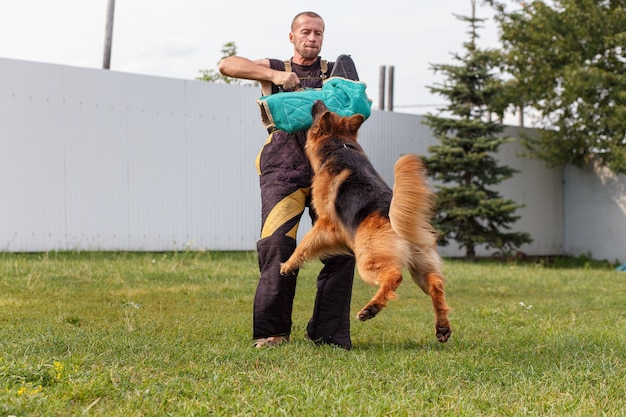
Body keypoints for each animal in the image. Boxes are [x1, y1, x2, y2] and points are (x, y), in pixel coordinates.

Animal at [280, 100, 450, 342]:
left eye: (320, 114)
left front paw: (288, 265)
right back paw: (442, 327)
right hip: (421, 268)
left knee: (394, 276)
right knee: (436, 285)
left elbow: (305, 244)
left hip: (368, 261)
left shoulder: (325, 223)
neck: (340, 145)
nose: (317, 101)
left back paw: (371, 309)